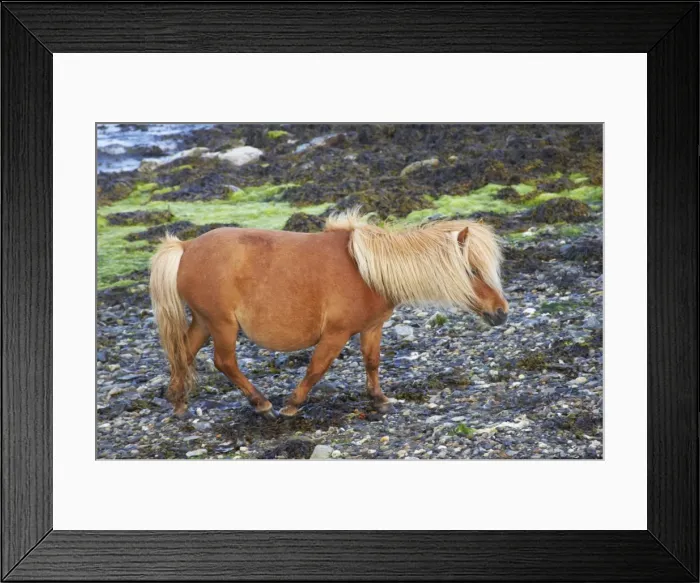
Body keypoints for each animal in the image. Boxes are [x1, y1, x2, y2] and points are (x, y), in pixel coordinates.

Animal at [149, 210, 508, 419]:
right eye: (473, 270)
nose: (502, 313)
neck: (366, 270)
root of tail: (186, 248)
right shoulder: (335, 335)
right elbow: (316, 369)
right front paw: (292, 405)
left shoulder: (372, 328)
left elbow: (372, 362)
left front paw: (379, 399)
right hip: (222, 325)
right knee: (224, 362)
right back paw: (262, 404)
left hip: (204, 322)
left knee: (184, 353)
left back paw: (179, 403)